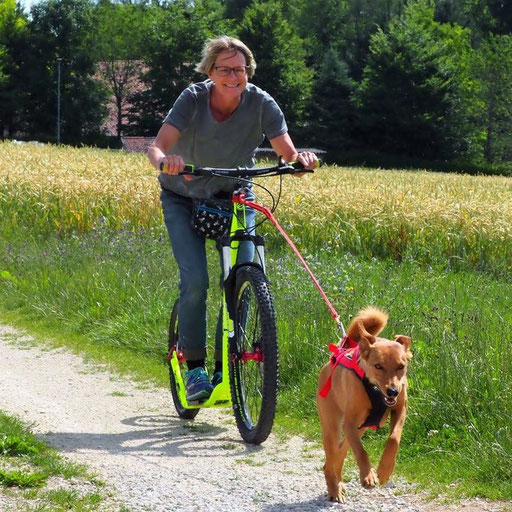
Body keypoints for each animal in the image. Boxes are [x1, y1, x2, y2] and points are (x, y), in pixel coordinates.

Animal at [316, 306, 412, 502]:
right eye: (378, 366)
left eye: (401, 366)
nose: (393, 391)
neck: (374, 389)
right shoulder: (350, 422)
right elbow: (361, 452)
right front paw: (368, 476)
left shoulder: (400, 410)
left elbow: (394, 439)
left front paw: (384, 470)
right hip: (333, 426)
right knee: (332, 456)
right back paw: (334, 489)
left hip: (361, 427)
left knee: (340, 453)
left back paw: (339, 482)